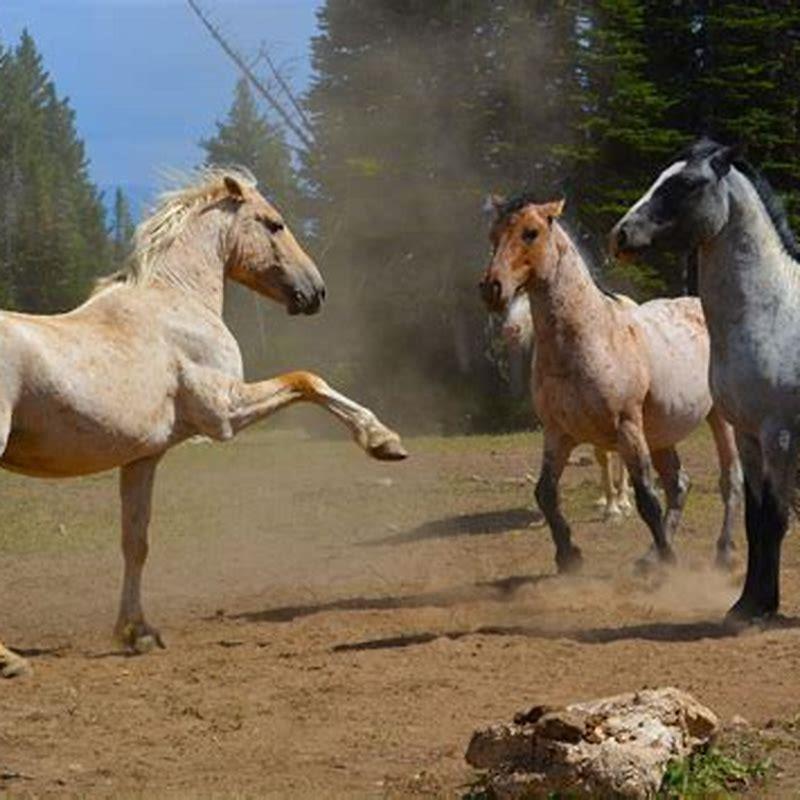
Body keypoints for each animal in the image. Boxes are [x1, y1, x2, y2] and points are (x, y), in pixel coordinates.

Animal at [0, 169, 407, 678]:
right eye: (273, 223)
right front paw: (383, 440)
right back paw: (9, 660)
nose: (316, 292)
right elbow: (307, 380)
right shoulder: (225, 413)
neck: (176, 301)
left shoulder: (142, 458)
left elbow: (136, 542)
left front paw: (138, 632)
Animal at [611, 138, 800, 621]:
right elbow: (756, 520)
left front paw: (762, 607)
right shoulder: (748, 434)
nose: (621, 234)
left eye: (687, 183)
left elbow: (776, 518)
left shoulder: (779, 435)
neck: (770, 312)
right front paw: (748, 602)